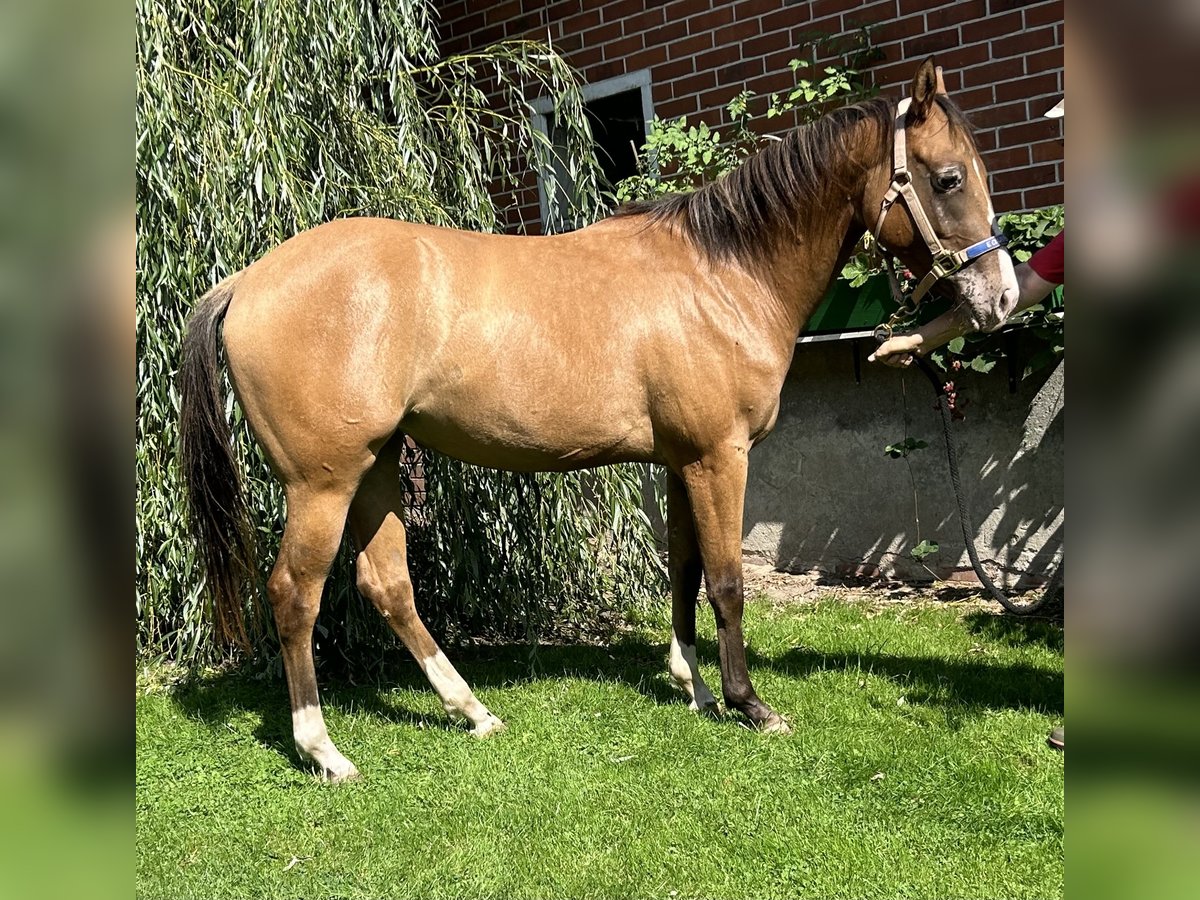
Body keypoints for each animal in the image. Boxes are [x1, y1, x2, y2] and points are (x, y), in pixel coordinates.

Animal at [182, 60, 1017, 787]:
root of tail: (246, 281)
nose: (1003, 296)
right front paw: (749, 705)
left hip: (377, 464)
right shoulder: (720, 458)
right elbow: (728, 582)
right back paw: (324, 750)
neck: (718, 276)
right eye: (948, 178)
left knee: (387, 585)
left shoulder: (682, 463)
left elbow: (684, 571)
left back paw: (471, 711)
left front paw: (694, 689)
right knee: (294, 592)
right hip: (322, 482)